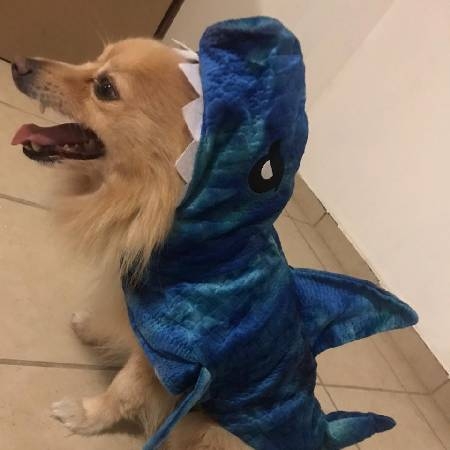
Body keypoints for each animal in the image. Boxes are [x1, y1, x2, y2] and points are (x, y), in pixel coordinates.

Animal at [11, 38, 250, 450]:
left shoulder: (167, 357)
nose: (19, 63)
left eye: (105, 88)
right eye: (93, 60)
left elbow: (123, 390)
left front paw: (86, 416)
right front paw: (91, 326)